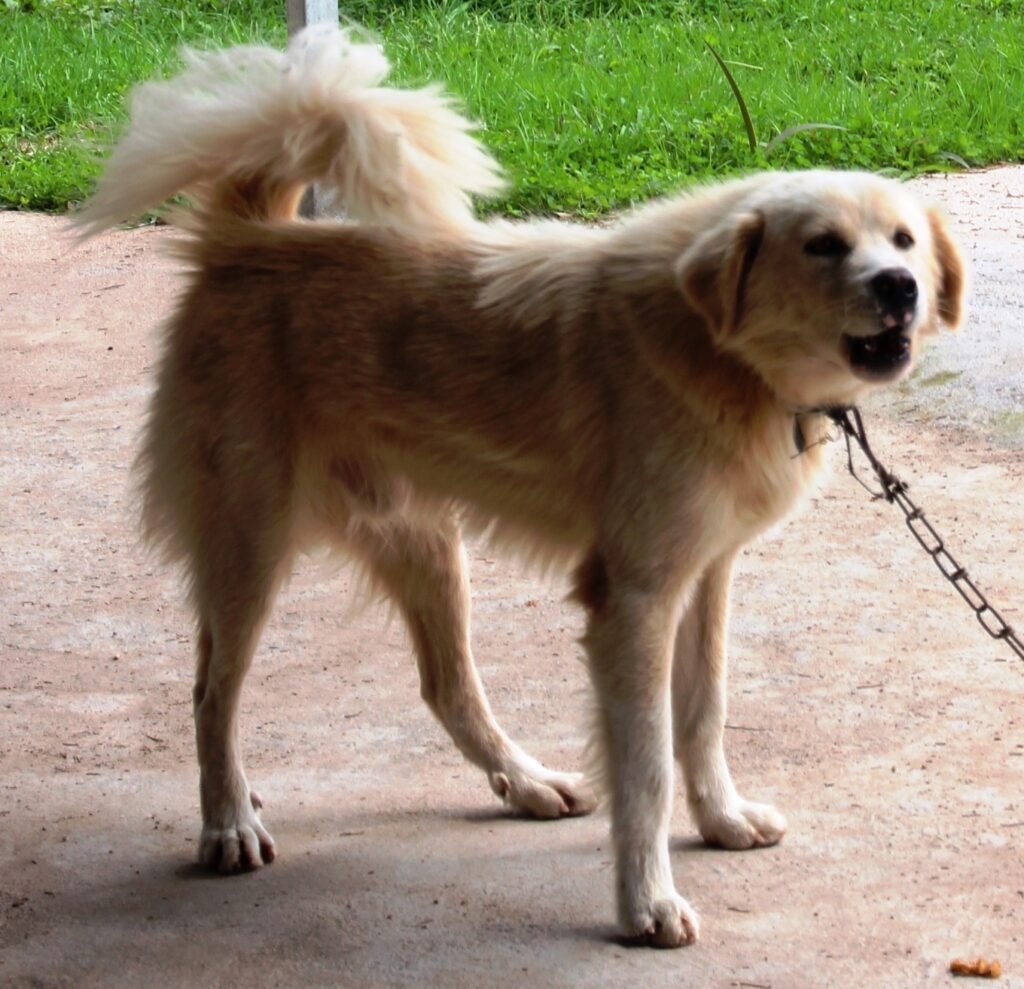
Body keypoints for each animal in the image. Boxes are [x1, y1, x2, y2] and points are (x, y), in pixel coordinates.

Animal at [77, 27, 958, 950]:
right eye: (823, 244)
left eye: (903, 241)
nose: (901, 288)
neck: (718, 352)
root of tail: (248, 238)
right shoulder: (634, 600)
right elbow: (647, 765)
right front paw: (646, 902)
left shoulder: (705, 577)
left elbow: (703, 710)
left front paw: (721, 818)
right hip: (249, 547)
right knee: (211, 691)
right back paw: (227, 821)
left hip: (424, 543)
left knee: (446, 687)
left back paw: (526, 780)